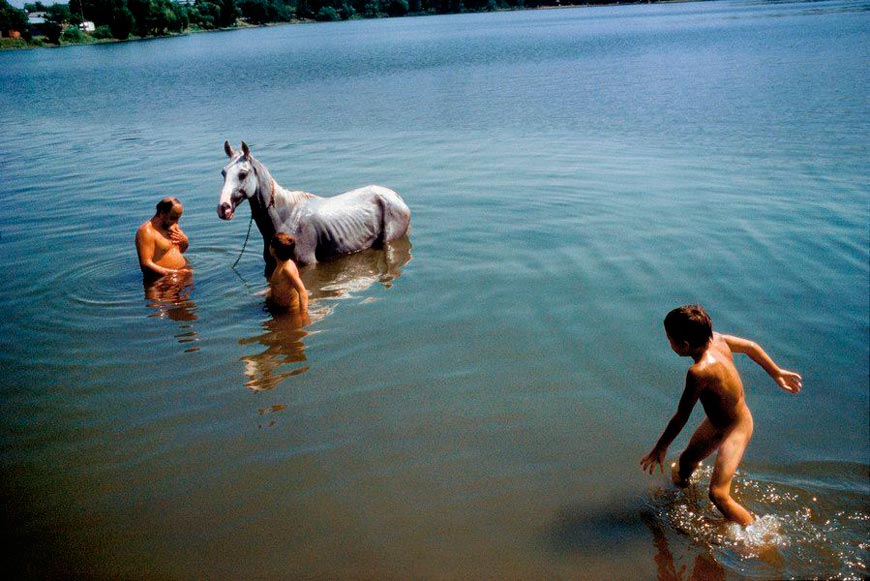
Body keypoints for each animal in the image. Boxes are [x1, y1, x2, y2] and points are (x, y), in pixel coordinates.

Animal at [216, 142, 410, 274]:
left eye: (243, 174)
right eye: (223, 172)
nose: (223, 208)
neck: (285, 217)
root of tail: (397, 197)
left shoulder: (307, 265)